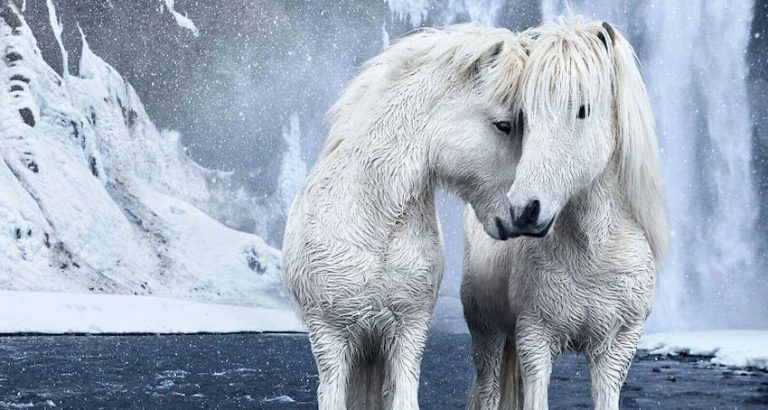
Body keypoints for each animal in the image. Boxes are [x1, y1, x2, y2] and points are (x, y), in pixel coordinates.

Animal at [461, 18, 667, 410]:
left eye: (583, 109)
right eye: (524, 115)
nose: (524, 210)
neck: (593, 255)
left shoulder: (616, 350)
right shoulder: (535, 340)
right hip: (487, 334)